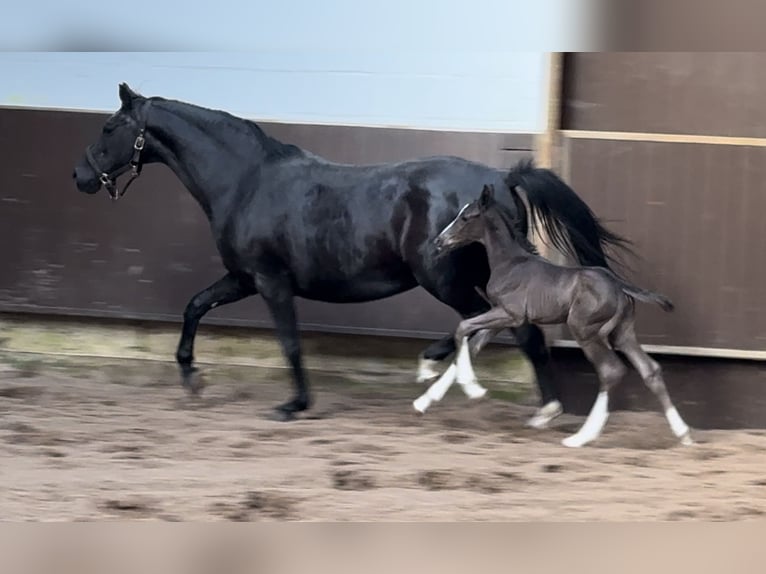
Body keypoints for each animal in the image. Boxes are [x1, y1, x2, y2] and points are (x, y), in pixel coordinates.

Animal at [73, 83, 632, 424]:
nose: (79, 176)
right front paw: (191, 378)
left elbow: (289, 342)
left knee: (504, 329)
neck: (246, 181)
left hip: (444, 278)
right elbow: (194, 306)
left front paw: (294, 404)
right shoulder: (242, 277)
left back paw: (537, 405)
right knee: (492, 329)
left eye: (108, 128)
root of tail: (500, 177)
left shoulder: (270, 281)